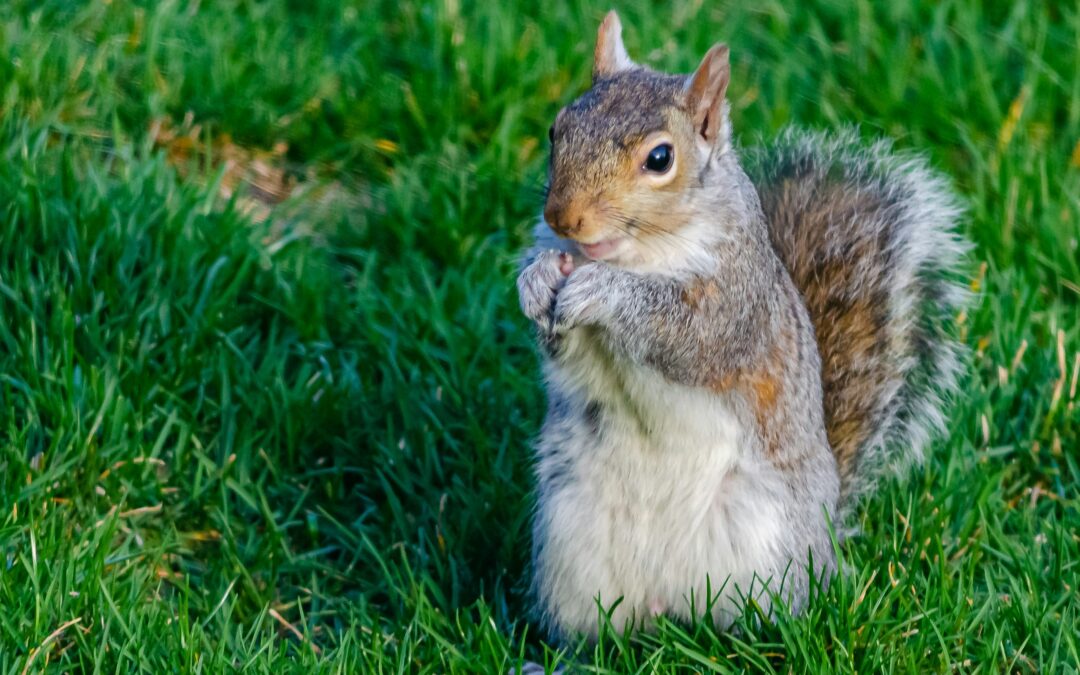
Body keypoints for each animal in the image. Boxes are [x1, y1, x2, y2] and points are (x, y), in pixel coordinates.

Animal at [516, 11, 969, 642]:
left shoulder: (736, 304)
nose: (563, 217)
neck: (637, 255)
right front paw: (535, 282)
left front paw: (601, 291)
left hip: (766, 549)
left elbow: (686, 335)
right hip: (571, 546)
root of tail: (667, 604)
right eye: (558, 130)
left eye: (660, 159)